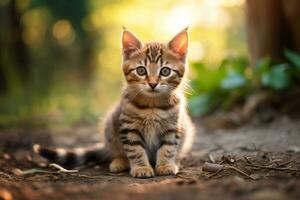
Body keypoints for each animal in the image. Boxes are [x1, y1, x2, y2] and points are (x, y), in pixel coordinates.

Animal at [33, 28, 195, 178]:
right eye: (141, 70)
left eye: (165, 71)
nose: (153, 84)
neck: (152, 105)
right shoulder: (129, 128)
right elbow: (135, 149)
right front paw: (141, 167)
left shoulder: (172, 128)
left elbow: (168, 148)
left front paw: (165, 165)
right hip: (110, 125)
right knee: (116, 150)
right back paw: (120, 161)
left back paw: (176, 161)